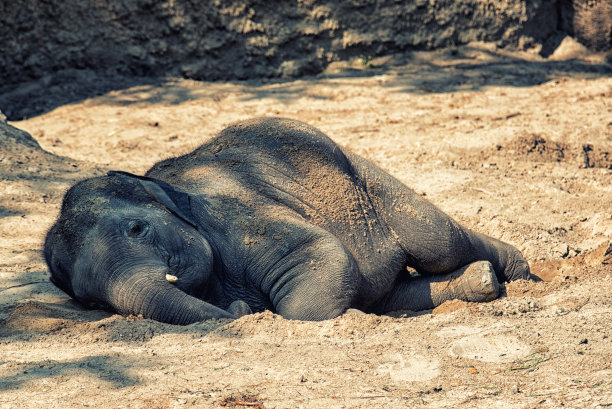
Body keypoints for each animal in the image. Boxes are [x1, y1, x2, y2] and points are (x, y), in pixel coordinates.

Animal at [43, 116, 532, 324]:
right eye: (89, 301)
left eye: (137, 229)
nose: (238, 311)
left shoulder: (236, 216)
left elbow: (320, 256)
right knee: (390, 290)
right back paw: (481, 282)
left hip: (361, 172)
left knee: (439, 241)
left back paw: (518, 272)